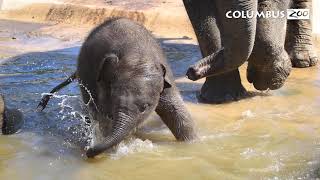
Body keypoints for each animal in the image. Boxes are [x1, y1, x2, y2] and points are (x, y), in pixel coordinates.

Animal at [37, 17, 198, 158]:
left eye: (145, 108)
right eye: (115, 99)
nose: (89, 151)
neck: (139, 56)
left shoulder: (166, 77)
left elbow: (175, 109)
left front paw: (193, 143)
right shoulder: (102, 80)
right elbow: (102, 115)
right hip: (85, 72)